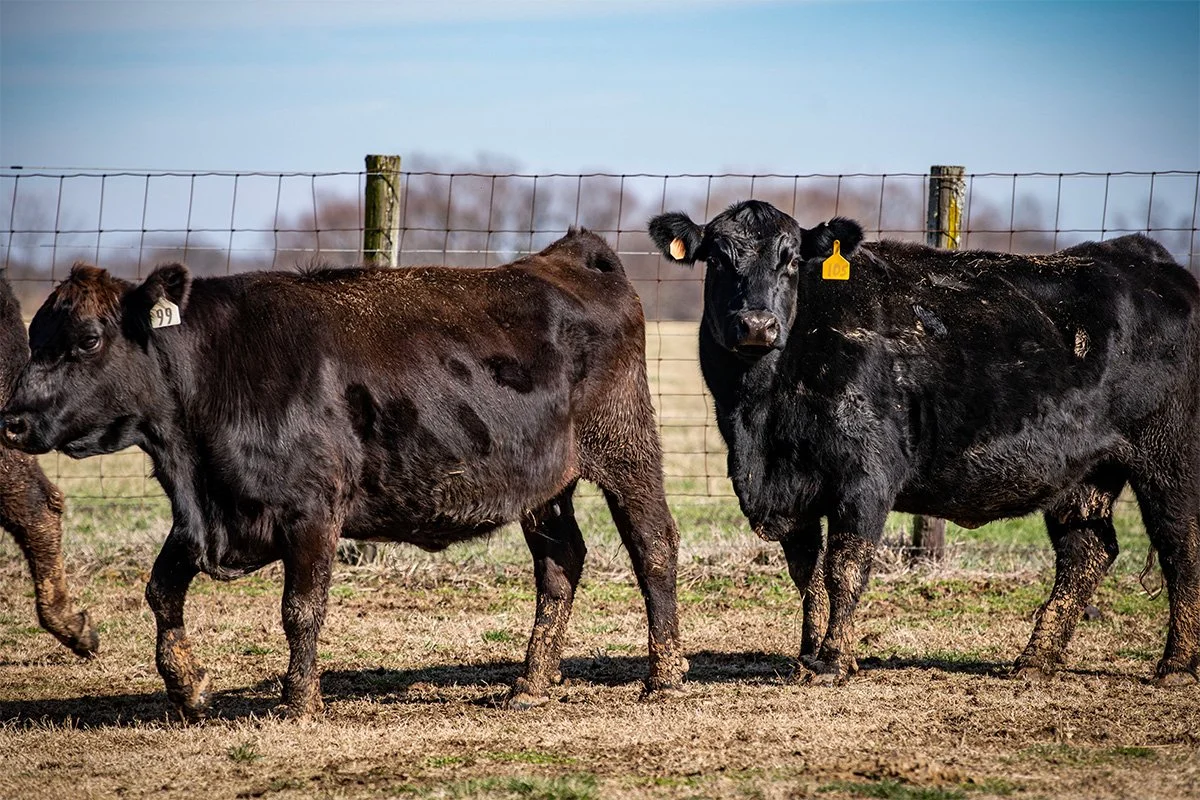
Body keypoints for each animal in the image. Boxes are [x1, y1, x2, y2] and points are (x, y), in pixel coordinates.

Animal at [649, 199, 1200, 686]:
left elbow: (844, 567)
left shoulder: (865, 476)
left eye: (790, 260)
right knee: (1087, 551)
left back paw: (1174, 665)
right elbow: (806, 572)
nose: (757, 325)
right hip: (1086, 472)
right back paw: (1034, 661)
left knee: (1180, 544)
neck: (760, 422)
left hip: (1169, 453)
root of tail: (1150, 260)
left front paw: (833, 661)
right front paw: (807, 653)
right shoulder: (791, 490)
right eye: (719, 259)